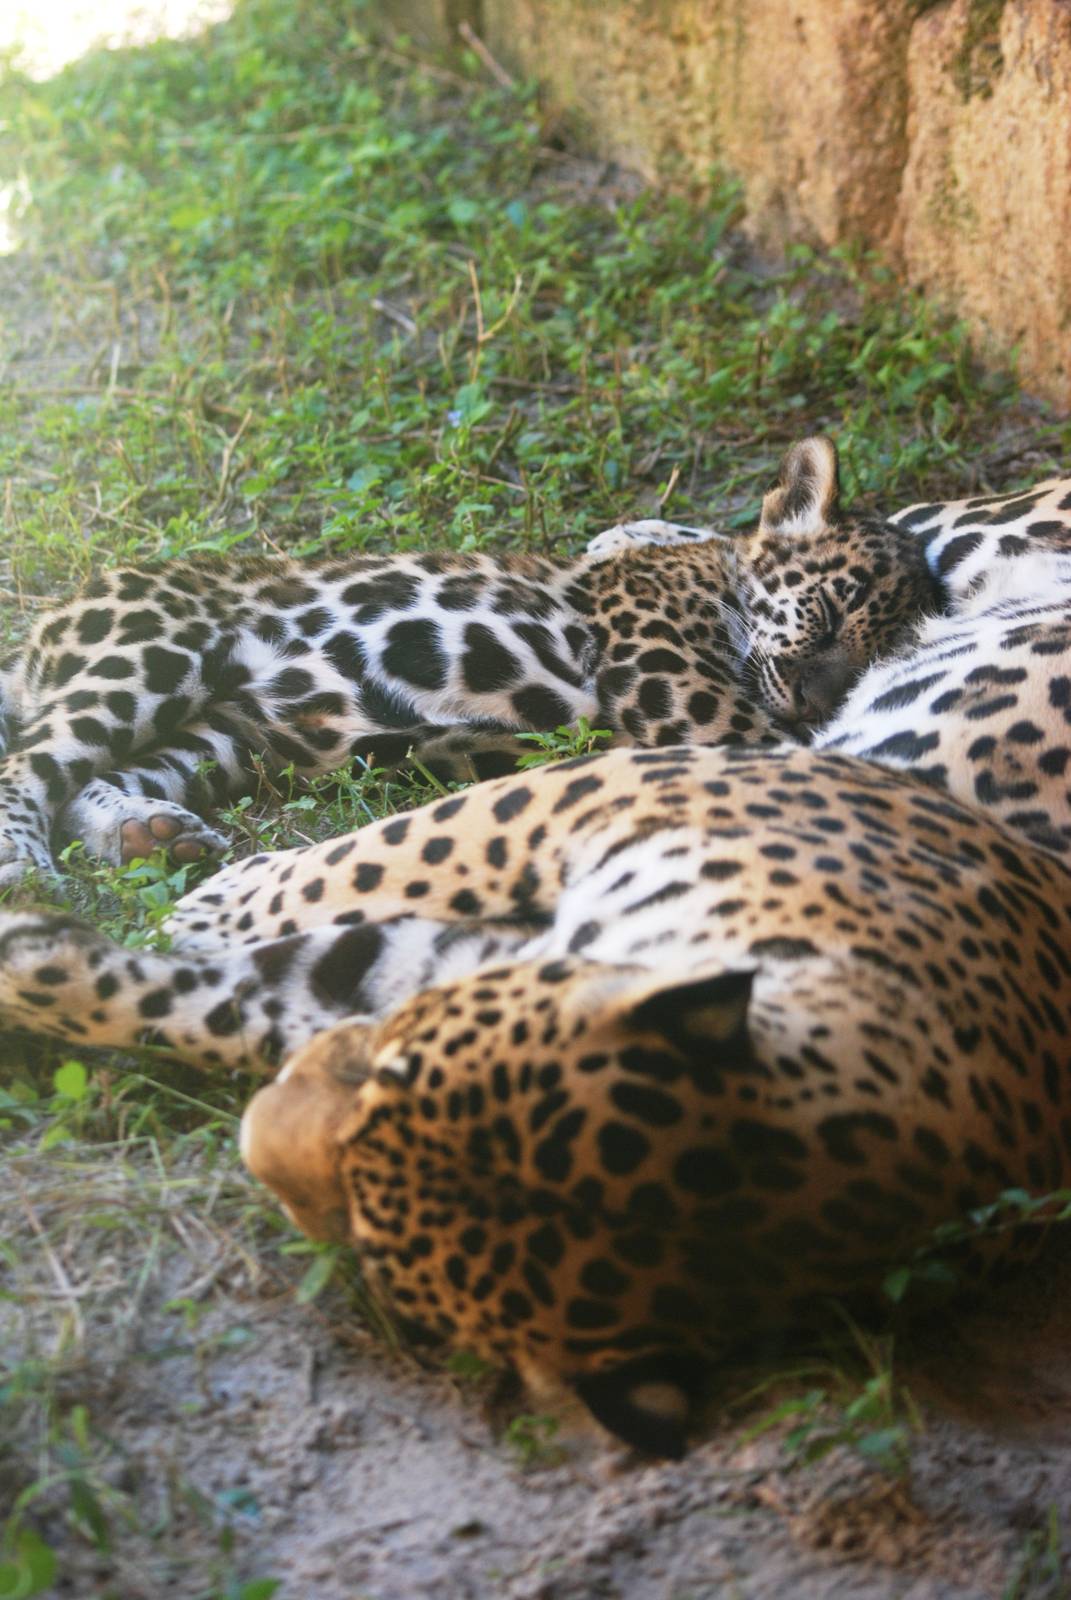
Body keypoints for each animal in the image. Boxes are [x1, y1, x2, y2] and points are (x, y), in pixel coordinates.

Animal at [0, 436, 937, 887]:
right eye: (828, 614)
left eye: (873, 658)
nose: (815, 702)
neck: (720, 585)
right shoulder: (677, 690)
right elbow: (784, 749)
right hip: (153, 654)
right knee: (28, 764)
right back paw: (25, 871)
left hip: (220, 736)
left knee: (87, 777)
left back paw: (148, 833)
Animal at [1, 740, 1069, 1457]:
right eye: (390, 1073)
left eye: (360, 1242)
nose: (253, 1143)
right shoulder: (589, 795)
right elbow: (387, 849)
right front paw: (146, 919)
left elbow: (248, 996)